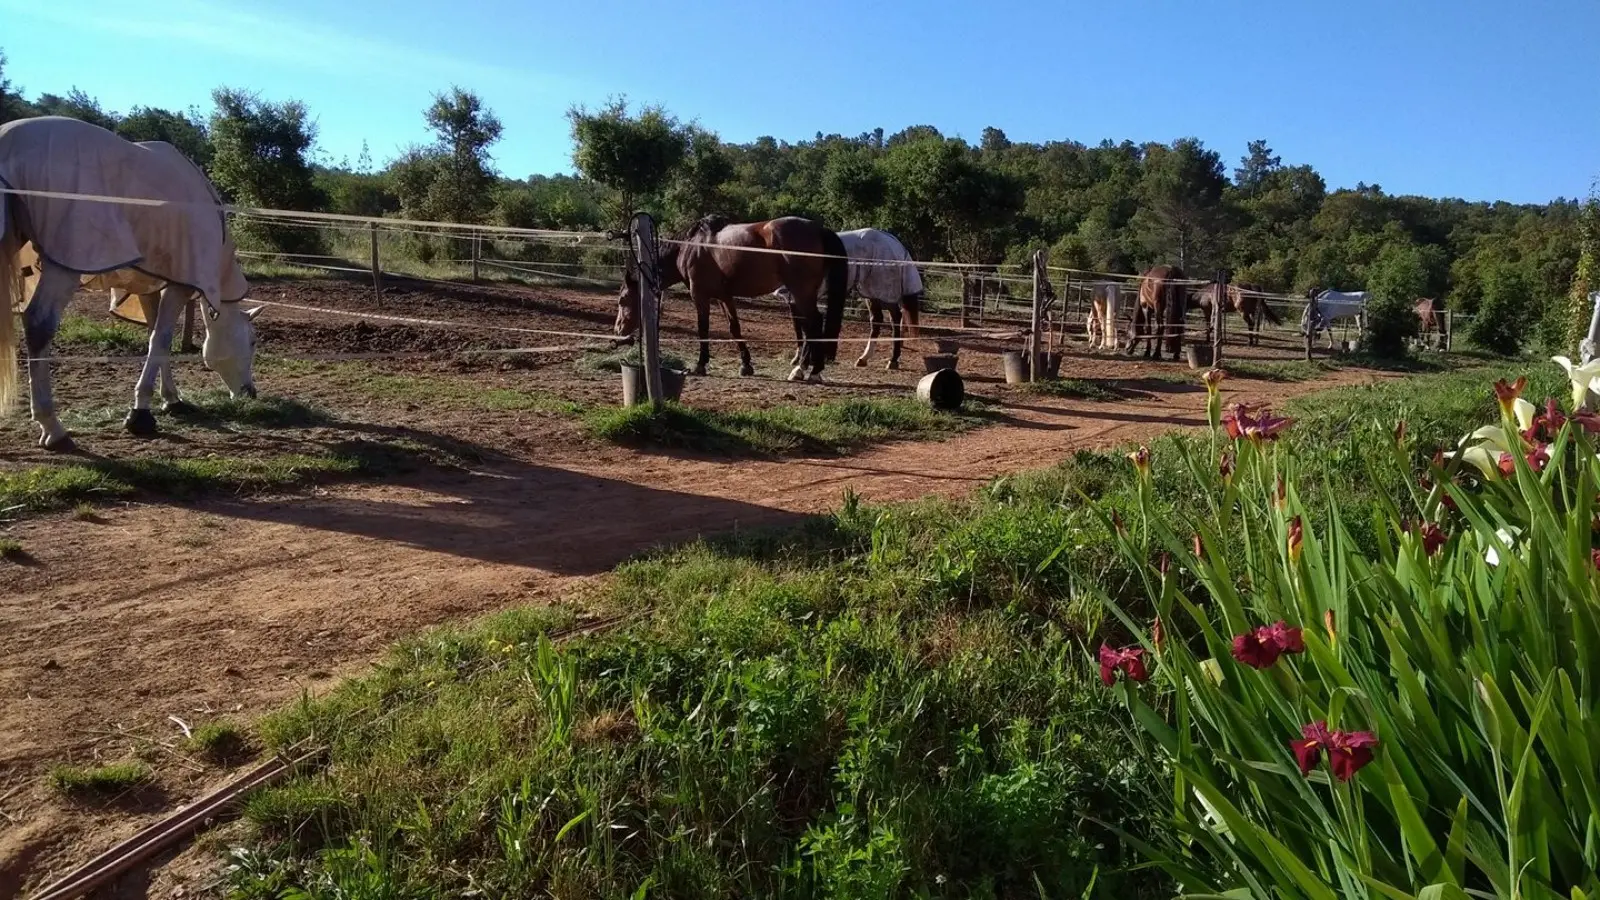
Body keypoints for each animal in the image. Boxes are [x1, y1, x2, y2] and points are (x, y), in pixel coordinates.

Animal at [0, 116, 262, 451]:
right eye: (252, 341)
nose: (250, 393)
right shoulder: (179, 286)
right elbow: (161, 339)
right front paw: (140, 414)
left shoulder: (153, 284)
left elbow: (155, 337)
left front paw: (171, 400)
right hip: (65, 264)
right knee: (38, 324)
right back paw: (53, 427)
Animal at [614, 216, 857, 379]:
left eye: (622, 300)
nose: (617, 331)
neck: (691, 247)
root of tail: (818, 228)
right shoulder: (725, 297)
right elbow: (735, 328)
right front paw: (746, 365)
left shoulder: (700, 296)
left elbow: (703, 329)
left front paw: (701, 364)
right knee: (810, 327)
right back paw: (806, 368)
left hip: (801, 292)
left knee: (813, 324)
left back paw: (807, 371)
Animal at [838, 227, 928, 368]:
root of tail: (894, 243)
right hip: (872, 294)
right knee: (878, 320)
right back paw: (865, 359)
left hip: (884, 292)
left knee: (894, 318)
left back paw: (893, 360)